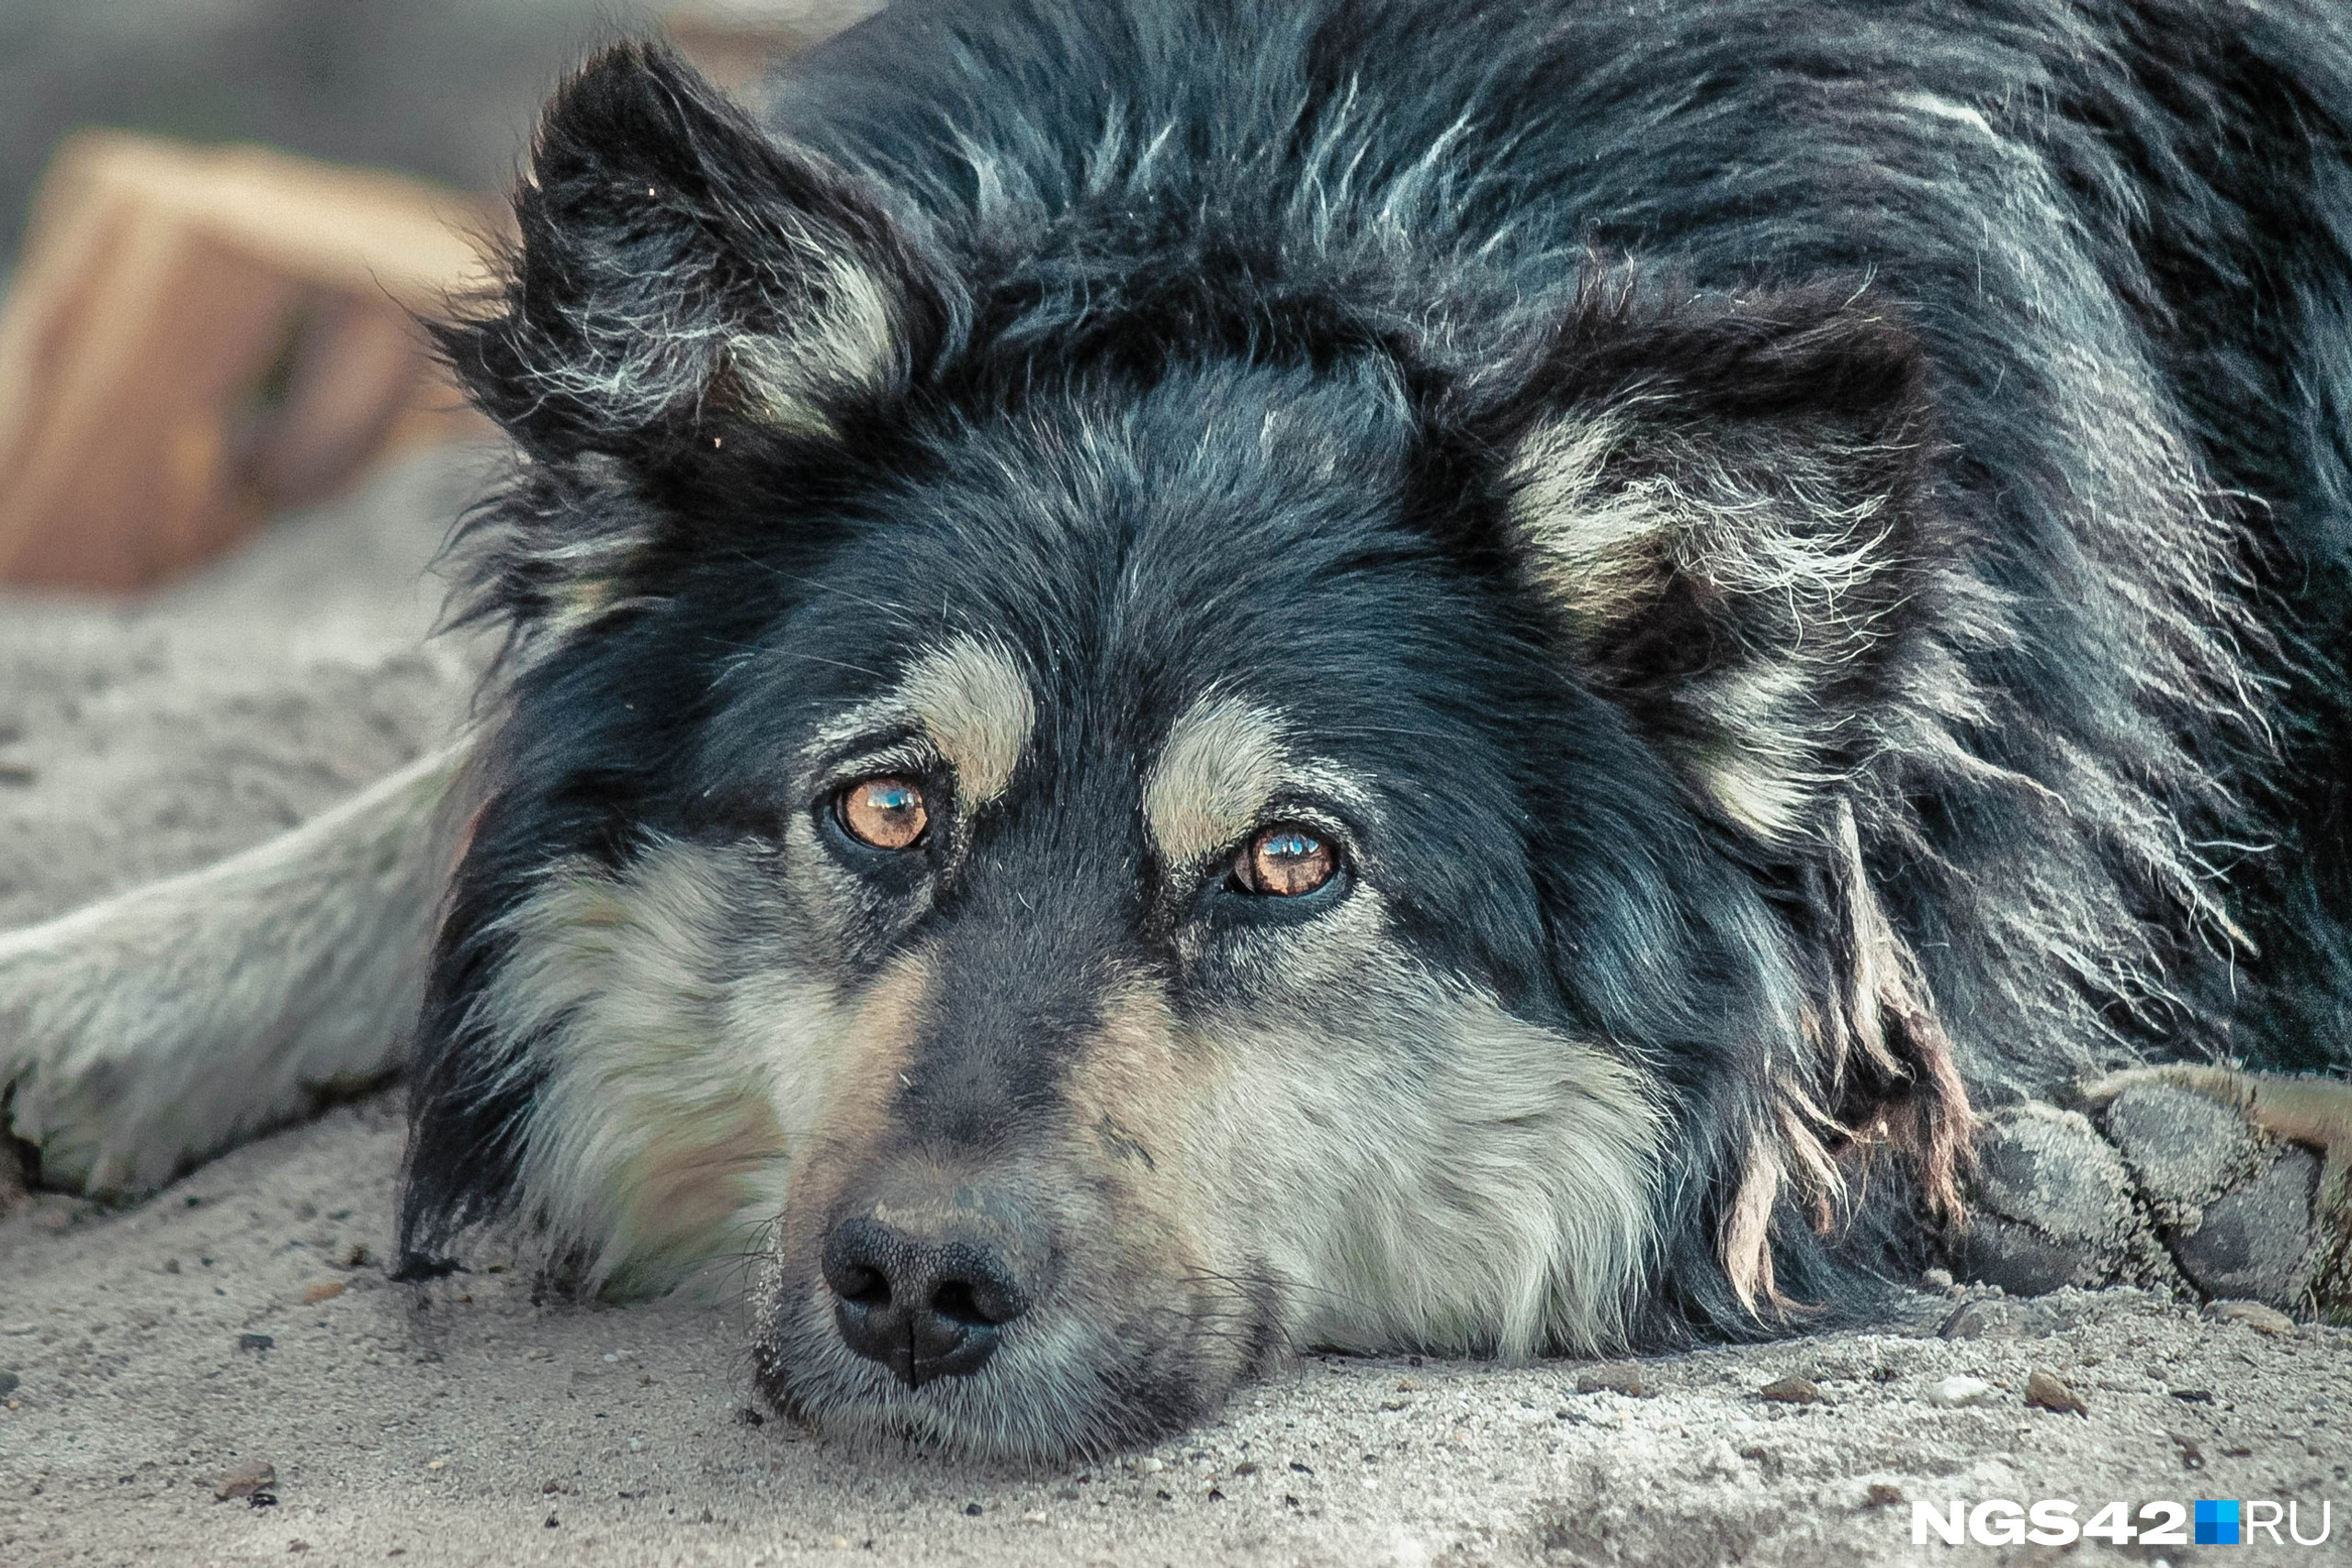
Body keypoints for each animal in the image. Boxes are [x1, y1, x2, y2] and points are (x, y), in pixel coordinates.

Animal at [5, 0, 2352, 1466]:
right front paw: (117, 976)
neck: (1294, 187)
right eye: (881, 805)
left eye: (1289, 861)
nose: (914, 1286)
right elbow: (454, 778)